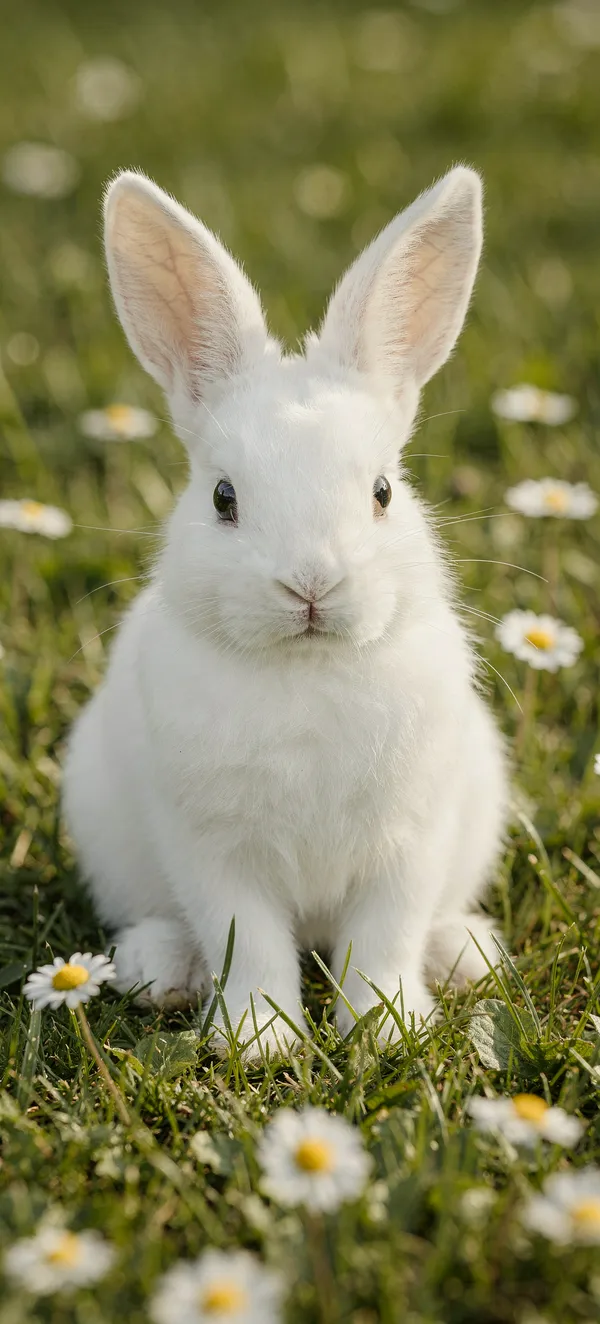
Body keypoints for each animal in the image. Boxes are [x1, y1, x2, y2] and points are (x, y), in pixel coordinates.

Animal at [63, 164, 508, 1059]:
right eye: (223, 497)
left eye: (383, 492)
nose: (311, 584)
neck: (306, 665)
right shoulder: (216, 853)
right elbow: (251, 943)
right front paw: (262, 1040)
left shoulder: (410, 842)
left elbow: (383, 941)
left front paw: (385, 1032)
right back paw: (159, 969)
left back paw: (466, 954)